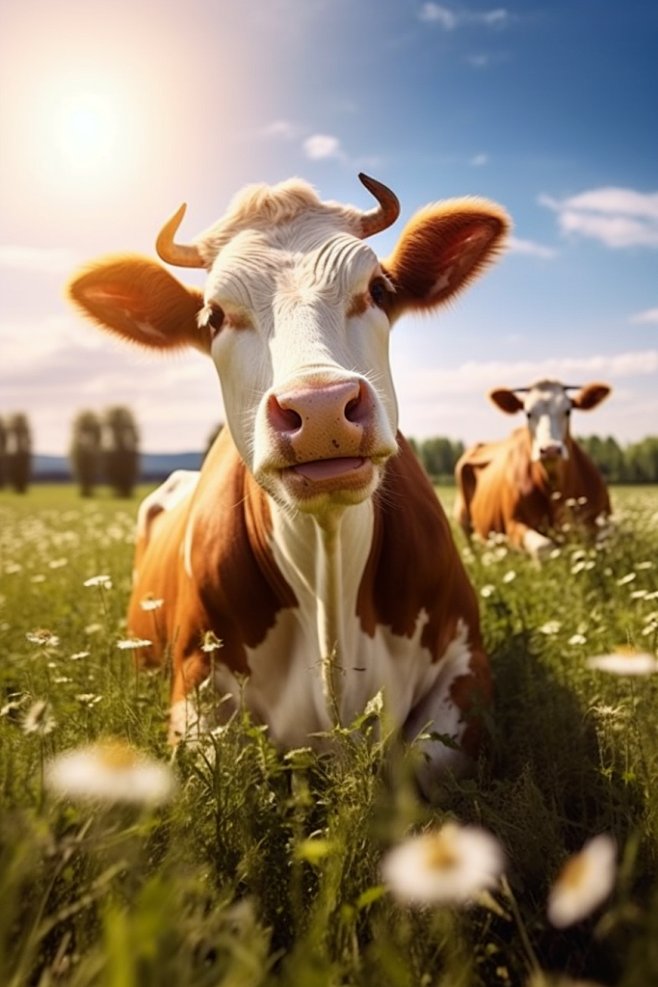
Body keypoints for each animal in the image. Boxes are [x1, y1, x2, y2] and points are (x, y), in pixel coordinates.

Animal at [67, 173, 509, 796]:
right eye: (213, 317)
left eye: (378, 289)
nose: (320, 407)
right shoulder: (193, 692)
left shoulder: (467, 663)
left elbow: (428, 763)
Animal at [454, 379, 612, 559]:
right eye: (528, 413)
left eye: (568, 411)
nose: (550, 449)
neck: (555, 490)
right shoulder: (513, 524)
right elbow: (543, 546)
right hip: (463, 521)